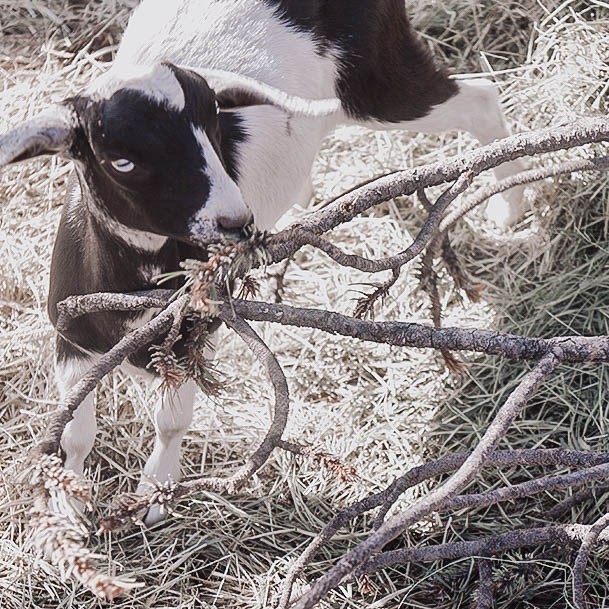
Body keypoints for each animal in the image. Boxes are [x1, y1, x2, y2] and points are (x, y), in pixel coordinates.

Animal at [0, 0, 524, 524]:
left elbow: (171, 421)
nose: (236, 221)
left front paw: (154, 494)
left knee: (480, 96)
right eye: (120, 160)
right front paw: (67, 506)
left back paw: (509, 205)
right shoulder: (73, 339)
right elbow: (75, 431)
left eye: (215, 124)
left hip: (375, 76)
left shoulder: (194, 340)